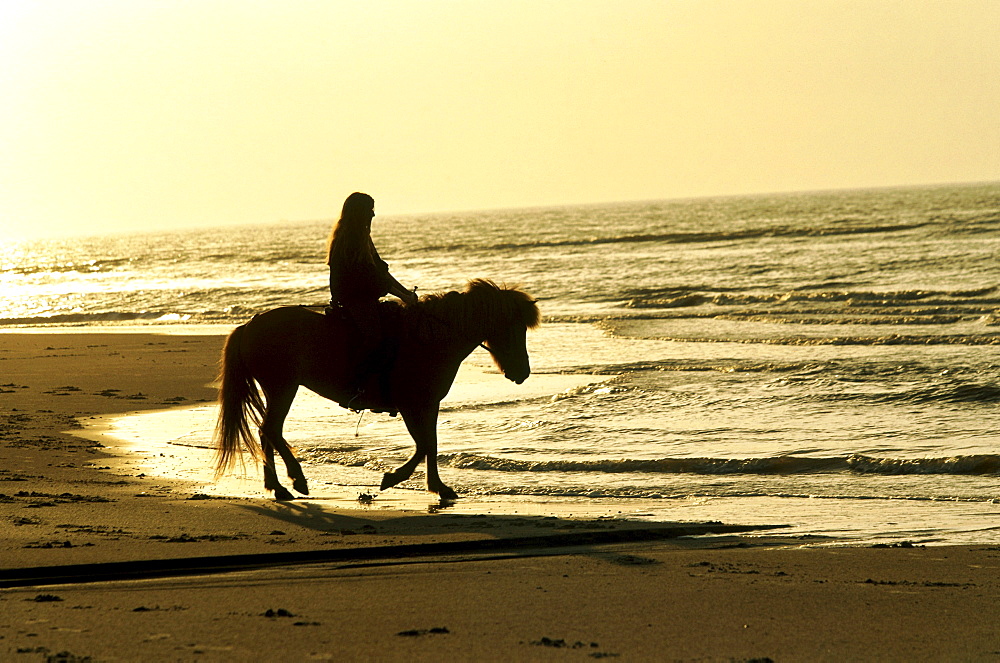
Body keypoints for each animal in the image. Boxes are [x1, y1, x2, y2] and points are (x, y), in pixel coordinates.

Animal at [213, 278, 540, 500]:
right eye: (514, 328)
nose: (522, 372)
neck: (430, 339)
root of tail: (249, 325)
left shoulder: (428, 404)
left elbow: (431, 445)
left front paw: (439, 488)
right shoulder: (411, 404)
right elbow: (423, 445)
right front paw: (393, 478)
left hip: (277, 389)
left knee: (267, 432)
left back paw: (277, 487)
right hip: (283, 387)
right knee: (271, 430)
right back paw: (296, 481)